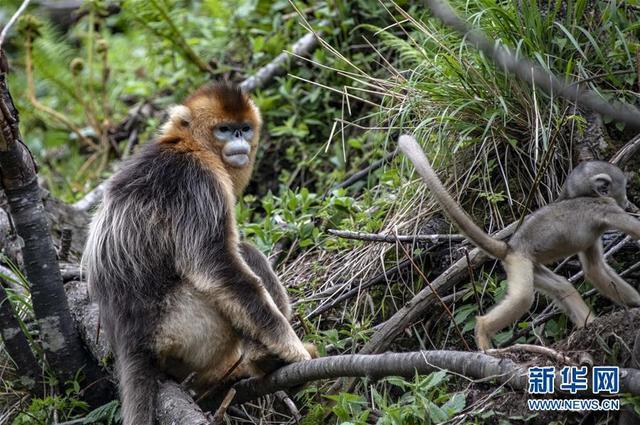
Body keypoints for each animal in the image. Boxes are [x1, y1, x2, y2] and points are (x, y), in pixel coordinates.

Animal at [83, 83, 318, 424]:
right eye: (224, 130)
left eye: (244, 128)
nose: (239, 140)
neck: (189, 145)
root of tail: (131, 343)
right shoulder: (199, 182)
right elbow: (216, 266)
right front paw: (290, 347)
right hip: (182, 327)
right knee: (242, 258)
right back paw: (264, 360)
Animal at [400, 134, 640, 350]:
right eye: (623, 189)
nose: (627, 201)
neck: (587, 196)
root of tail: (510, 248)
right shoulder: (607, 208)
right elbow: (633, 231)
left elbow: (594, 269)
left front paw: (637, 302)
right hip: (520, 263)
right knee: (523, 298)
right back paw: (483, 331)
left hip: (531, 266)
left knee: (562, 287)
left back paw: (587, 326)